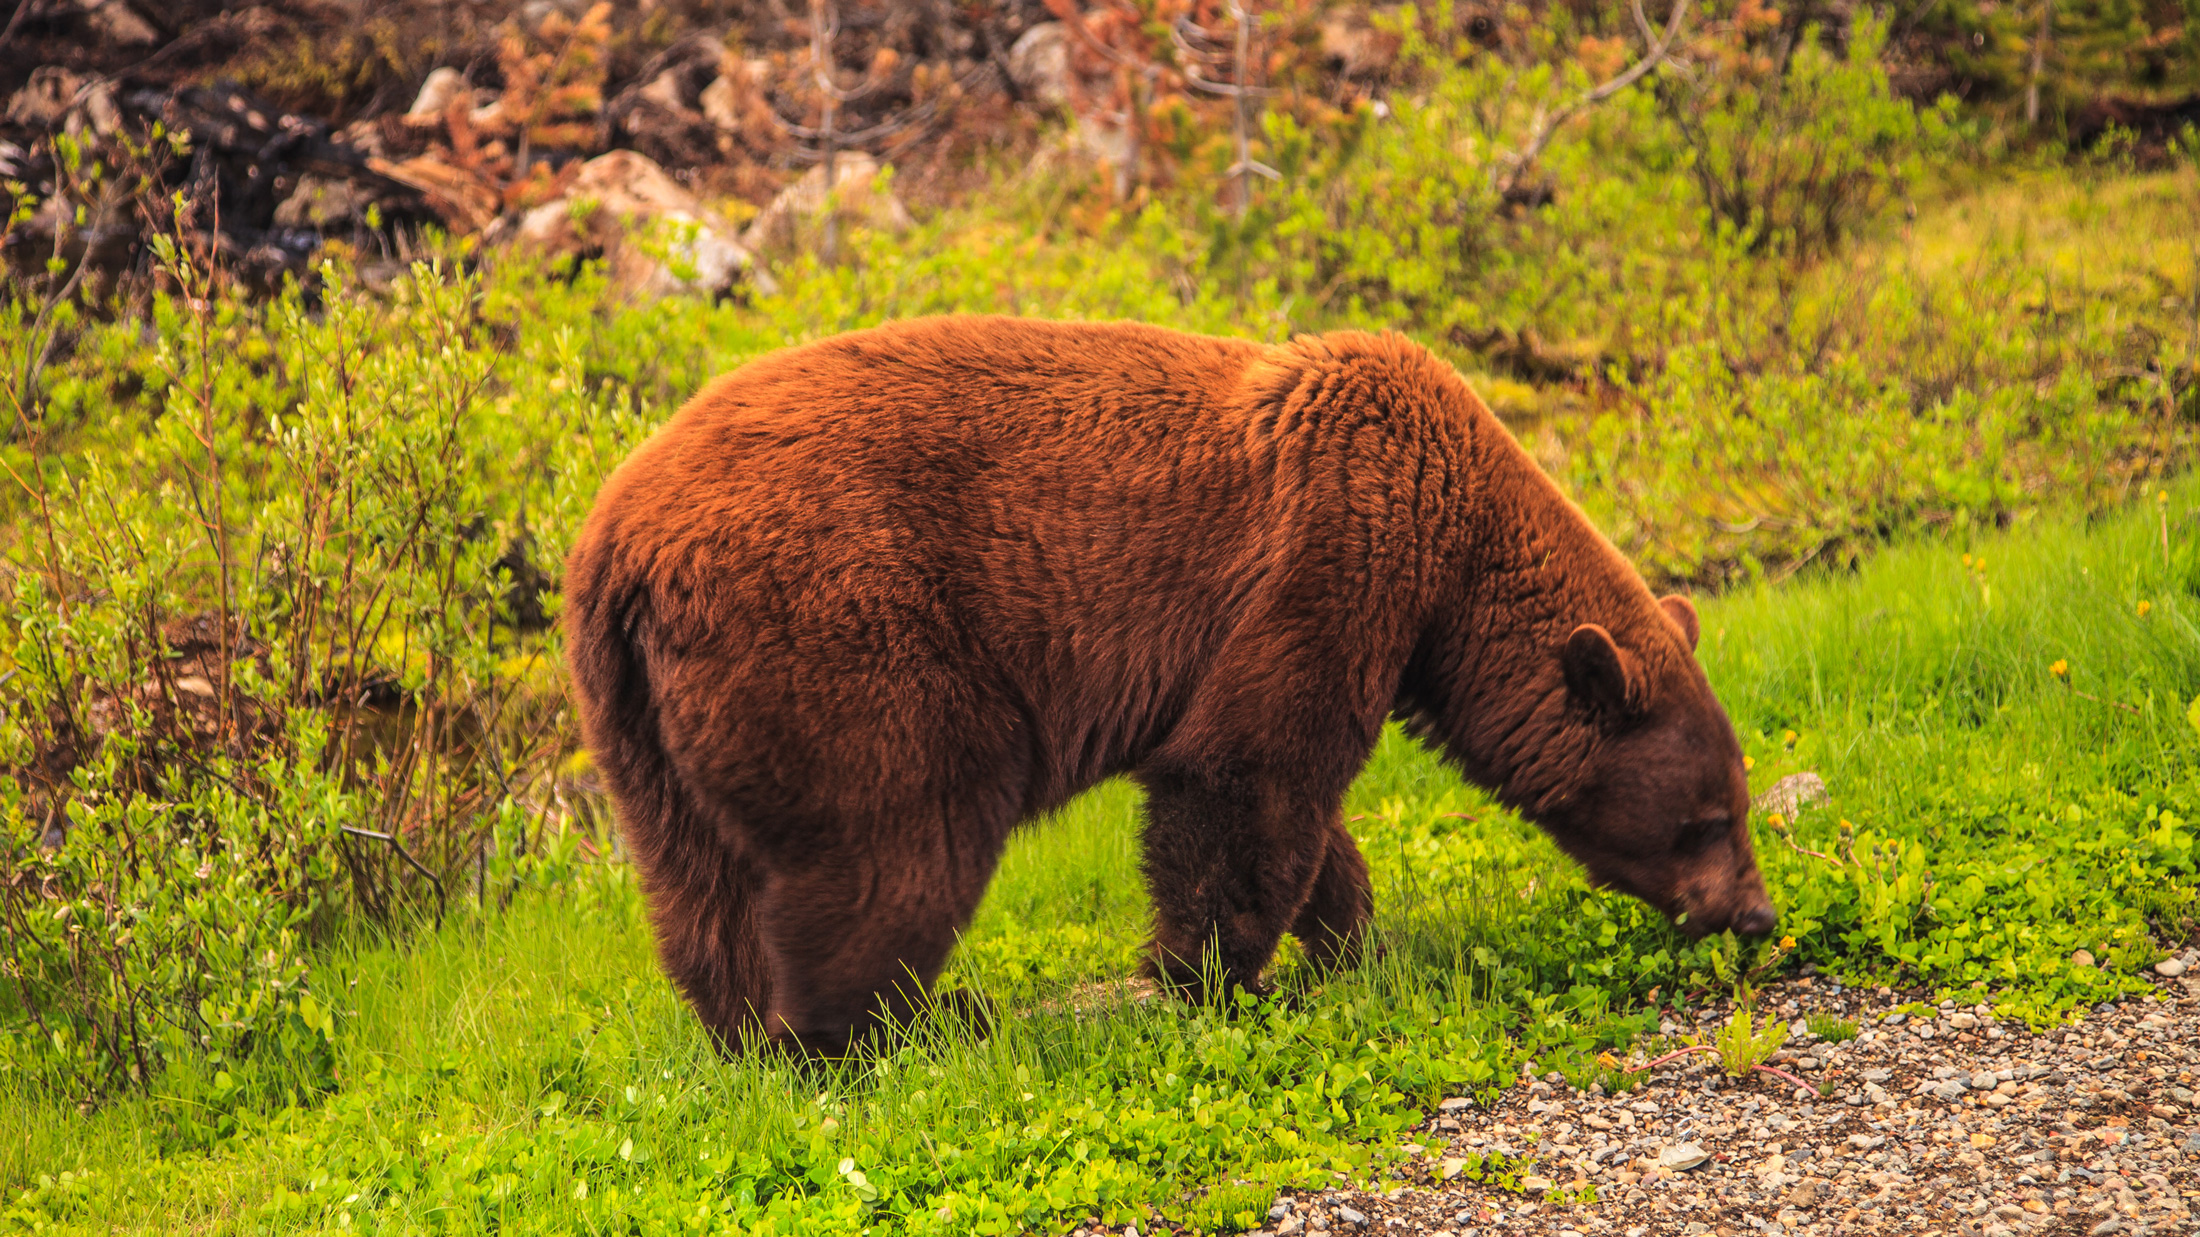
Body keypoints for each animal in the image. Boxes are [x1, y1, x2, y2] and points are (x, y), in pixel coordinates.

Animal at [563, 312, 1768, 1056]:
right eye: (1706, 818)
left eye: (1738, 804)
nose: (1754, 913)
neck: (1455, 547)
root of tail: (621, 545)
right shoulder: (1332, 545)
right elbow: (1248, 774)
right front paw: (1222, 978)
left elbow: (1292, 802)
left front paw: (1349, 942)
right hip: (845, 637)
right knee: (895, 845)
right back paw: (900, 1030)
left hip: (641, 720)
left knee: (698, 886)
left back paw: (752, 1034)